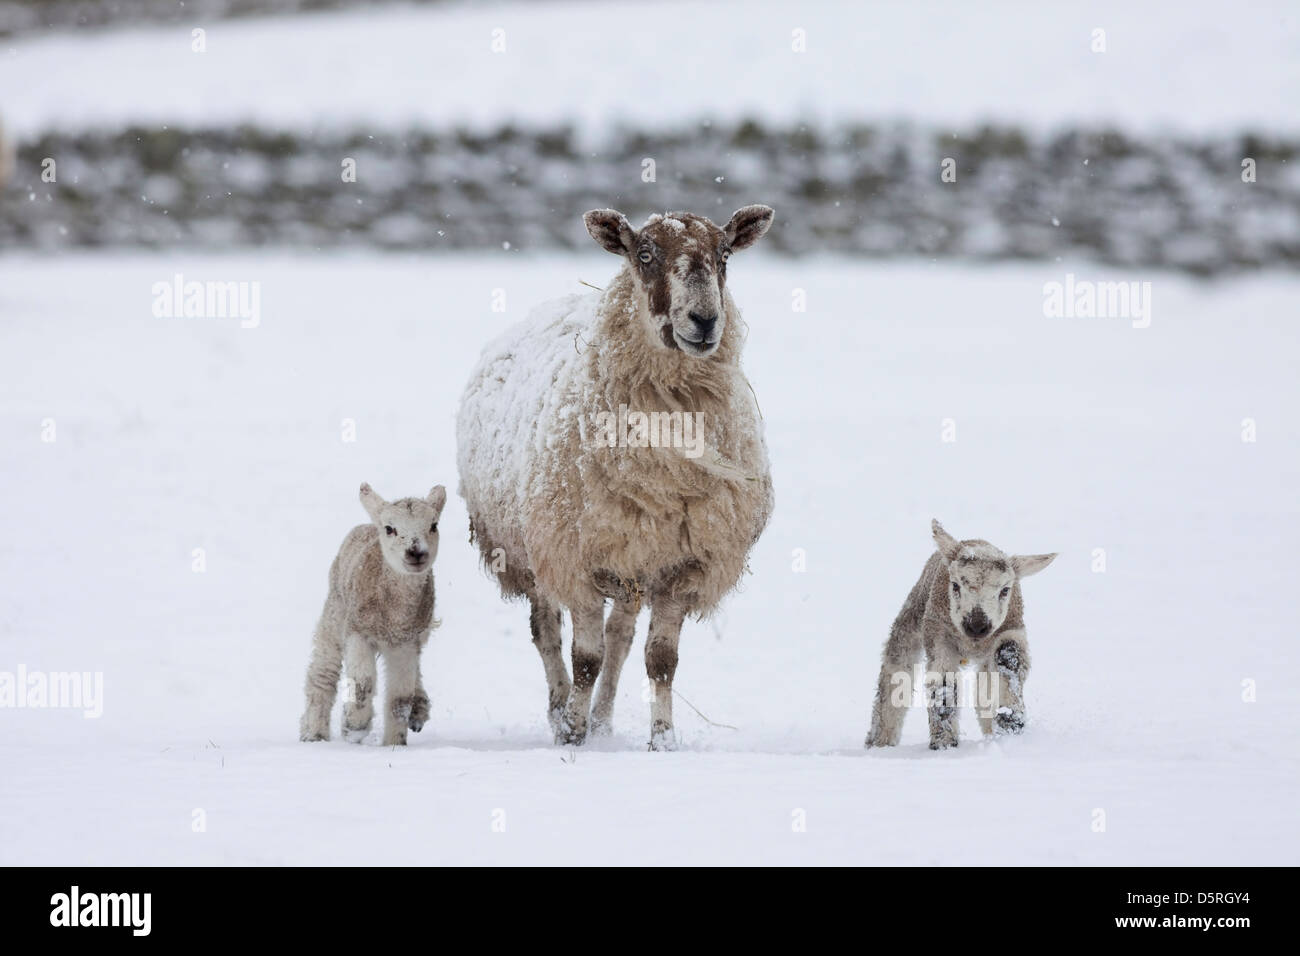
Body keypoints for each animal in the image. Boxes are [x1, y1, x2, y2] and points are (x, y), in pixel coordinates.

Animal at [299, 486, 447, 749]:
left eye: (434, 525)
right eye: (390, 528)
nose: (416, 552)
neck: (394, 613)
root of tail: (367, 525)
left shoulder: (405, 642)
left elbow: (399, 699)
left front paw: (394, 745)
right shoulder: (358, 631)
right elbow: (361, 684)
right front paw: (354, 727)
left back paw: (419, 709)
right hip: (336, 612)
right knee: (323, 673)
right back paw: (314, 733)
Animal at [460, 205, 769, 749]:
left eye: (725, 254)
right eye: (643, 254)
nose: (705, 320)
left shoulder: (681, 565)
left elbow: (660, 660)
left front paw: (662, 739)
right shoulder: (576, 558)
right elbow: (584, 658)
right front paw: (572, 733)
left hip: (631, 562)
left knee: (619, 638)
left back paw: (602, 720)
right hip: (528, 547)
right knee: (547, 632)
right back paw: (562, 710)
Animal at [863, 520, 1055, 749]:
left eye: (1005, 590)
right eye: (955, 585)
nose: (977, 626)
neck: (973, 644)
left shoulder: (1011, 628)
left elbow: (1009, 658)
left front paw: (1011, 723)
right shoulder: (939, 635)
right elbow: (943, 683)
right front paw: (944, 743)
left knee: (984, 688)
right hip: (913, 615)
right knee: (895, 672)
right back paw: (880, 741)